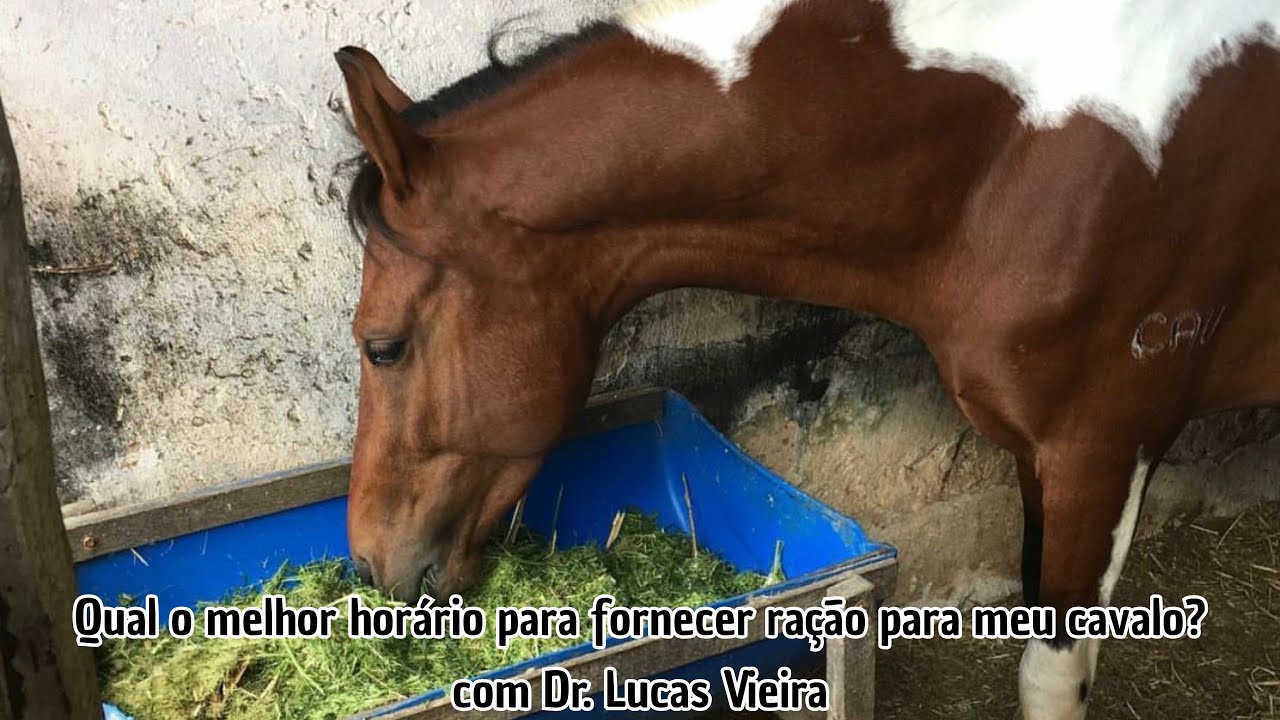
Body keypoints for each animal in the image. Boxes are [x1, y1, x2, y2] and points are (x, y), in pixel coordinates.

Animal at [334, 0, 1280, 717]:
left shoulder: (1102, 450)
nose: (371, 565)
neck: (1030, 149)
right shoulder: (1041, 454)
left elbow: (1050, 676)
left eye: (384, 346)